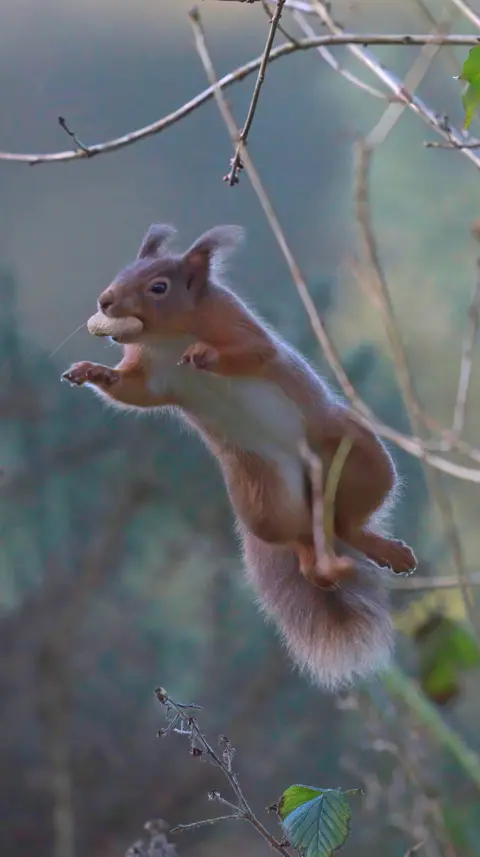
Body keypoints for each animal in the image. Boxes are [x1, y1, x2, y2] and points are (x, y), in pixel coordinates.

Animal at [62, 223, 417, 689]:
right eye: (123, 271)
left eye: (159, 287)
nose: (105, 301)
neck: (166, 336)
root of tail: (311, 485)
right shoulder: (153, 375)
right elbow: (132, 391)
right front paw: (92, 372)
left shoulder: (233, 323)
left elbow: (253, 351)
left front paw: (203, 354)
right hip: (264, 498)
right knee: (305, 546)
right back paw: (330, 567)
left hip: (358, 461)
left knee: (348, 523)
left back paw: (383, 552)